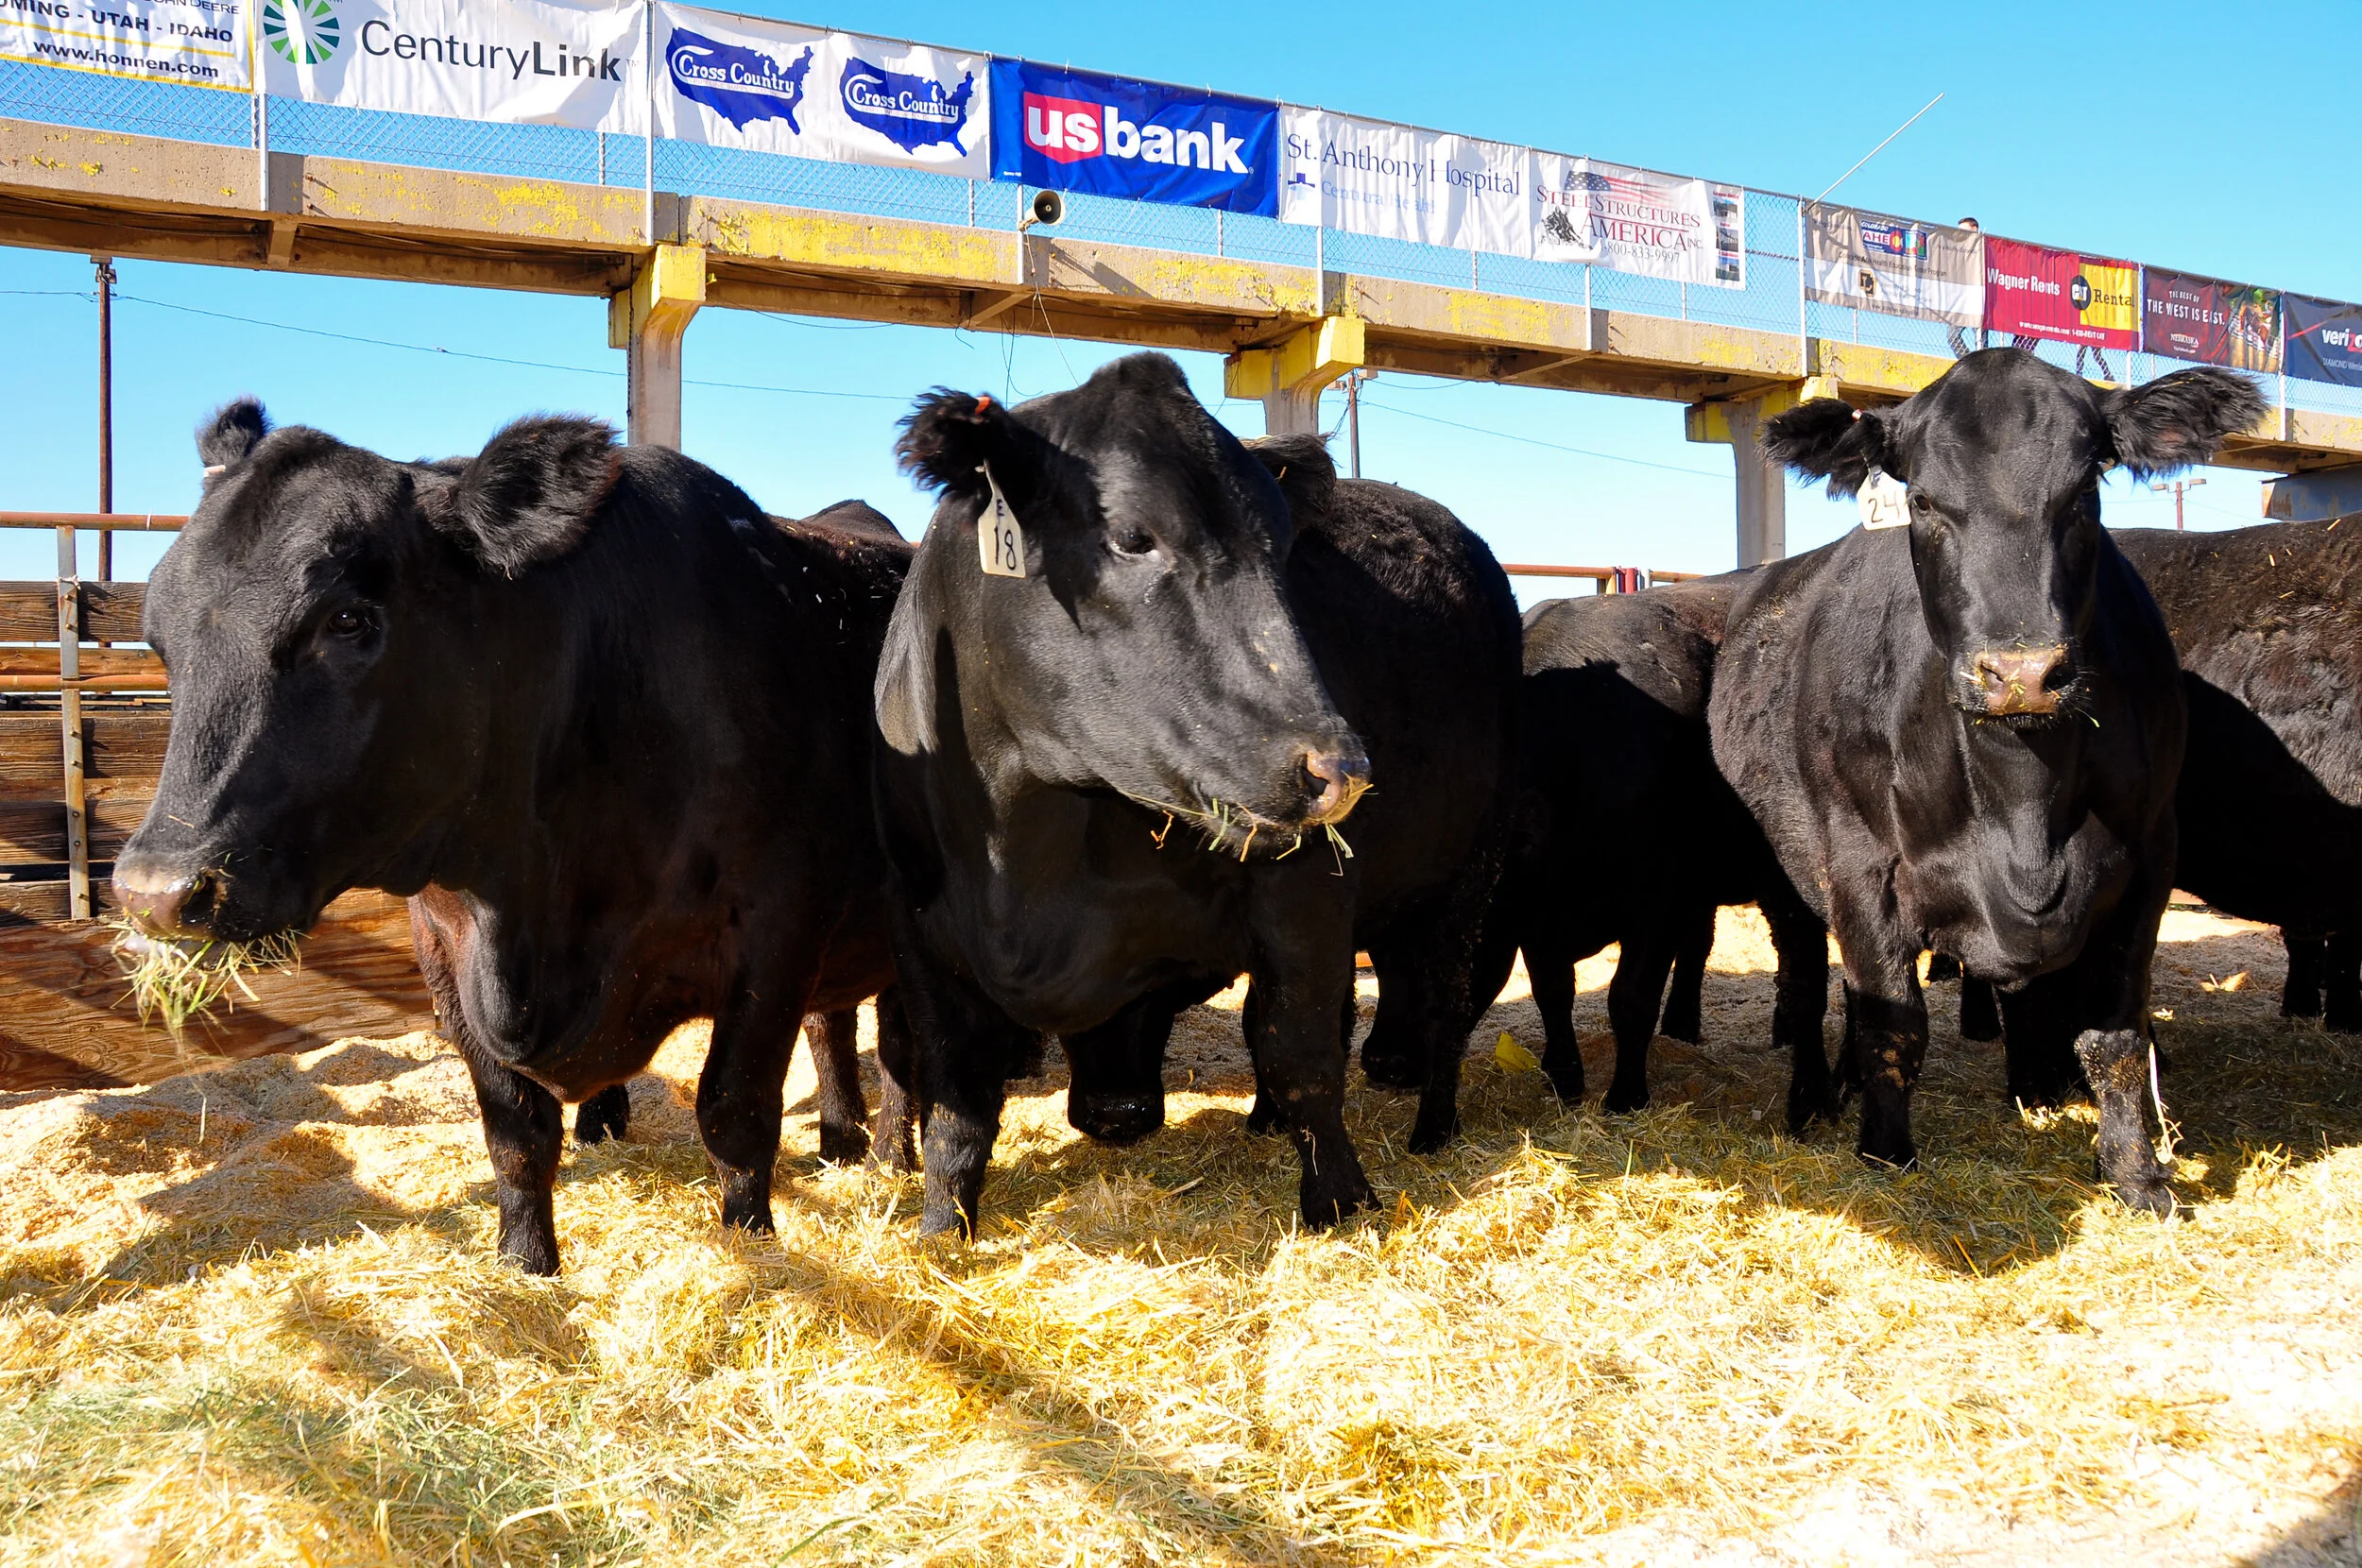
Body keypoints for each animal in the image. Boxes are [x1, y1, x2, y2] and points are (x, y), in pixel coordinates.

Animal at [112, 401, 910, 1273]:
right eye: (158, 637)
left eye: (347, 618)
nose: (156, 892)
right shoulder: (444, 951)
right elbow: (515, 1131)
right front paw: (525, 1263)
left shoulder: (778, 932)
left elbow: (734, 1112)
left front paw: (752, 1241)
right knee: (836, 1023)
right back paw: (838, 1138)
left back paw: (889, 1152)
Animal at [872, 353, 1521, 1237]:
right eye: (1131, 535)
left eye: (1282, 551)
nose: (1339, 767)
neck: (1028, 854)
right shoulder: (919, 927)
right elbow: (953, 1091)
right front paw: (943, 1226)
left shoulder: (1304, 893)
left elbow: (1299, 1049)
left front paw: (1340, 1202)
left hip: (1470, 866)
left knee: (1444, 998)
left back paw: (1433, 1127)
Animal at [1470, 576, 1831, 1122]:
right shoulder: (1533, 917)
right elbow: (1553, 992)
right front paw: (1564, 1077)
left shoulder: (1658, 900)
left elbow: (1631, 998)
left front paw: (1625, 1097)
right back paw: (1684, 1027)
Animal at [1717, 348, 2263, 1214]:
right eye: (1923, 501)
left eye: (2084, 494)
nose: (2022, 674)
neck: (2023, 814)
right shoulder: (1860, 866)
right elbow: (1894, 1024)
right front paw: (1885, 1154)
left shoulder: (2149, 860)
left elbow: (2116, 1035)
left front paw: (2136, 1173)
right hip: (1789, 878)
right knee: (1813, 990)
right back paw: (1814, 1102)